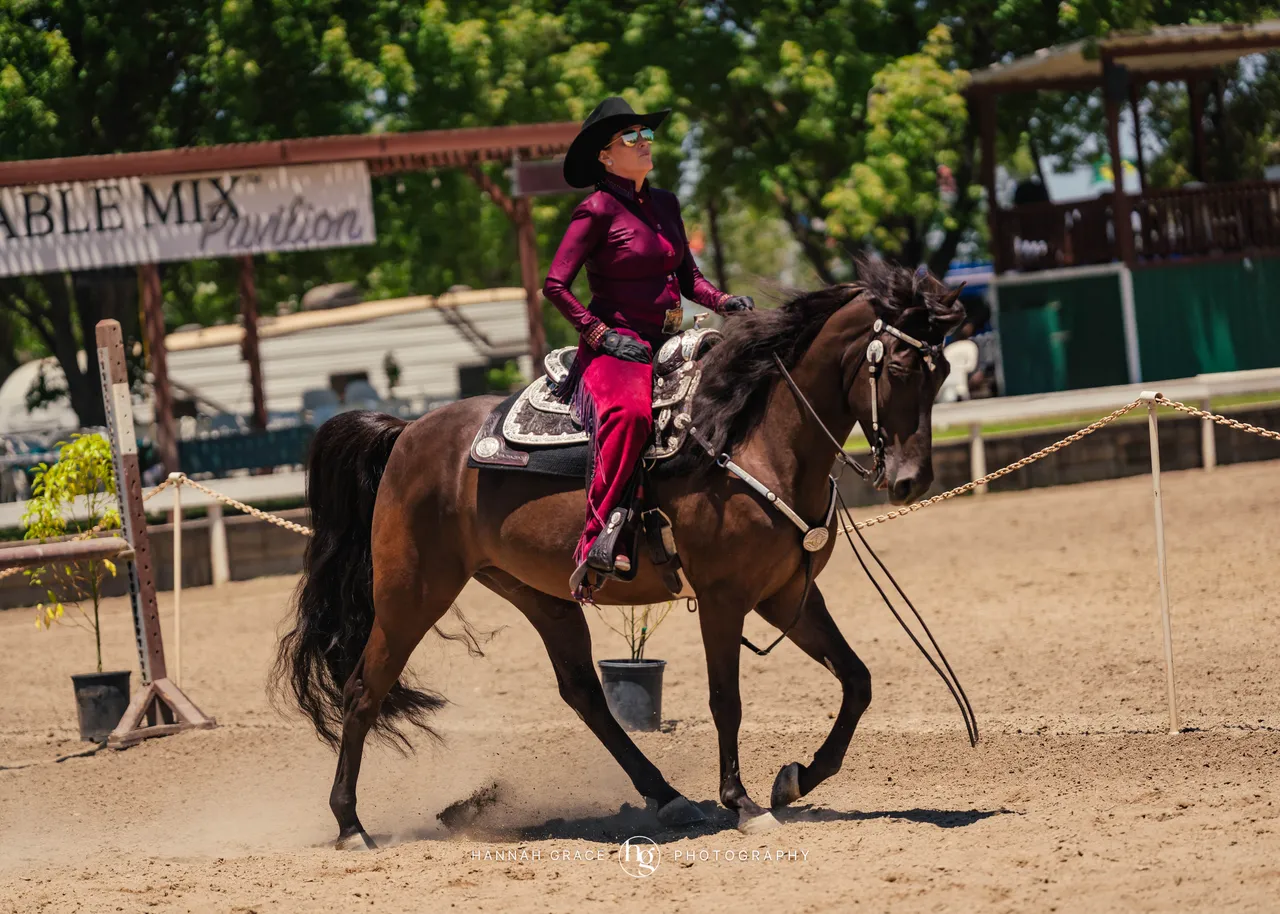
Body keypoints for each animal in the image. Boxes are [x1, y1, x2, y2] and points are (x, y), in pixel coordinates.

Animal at [274, 258, 965, 848]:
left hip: (540, 594)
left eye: (942, 373)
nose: (912, 479)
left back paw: (668, 797)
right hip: (411, 592)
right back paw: (350, 825)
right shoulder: (725, 599)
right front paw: (742, 803)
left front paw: (794, 780)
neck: (751, 437)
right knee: (364, 689)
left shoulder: (787, 593)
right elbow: (726, 699)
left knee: (584, 693)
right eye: (899, 368)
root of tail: (407, 432)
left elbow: (857, 679)